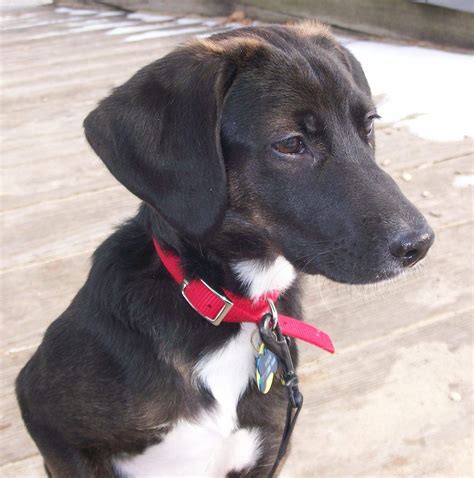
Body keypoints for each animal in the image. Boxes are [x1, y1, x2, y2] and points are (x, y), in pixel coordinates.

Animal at [16, 23, 434, 478]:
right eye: (291, 143)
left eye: (369, 125)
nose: (420, 244)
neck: (231, 308)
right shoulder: (50, 423)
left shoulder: (269, 450)